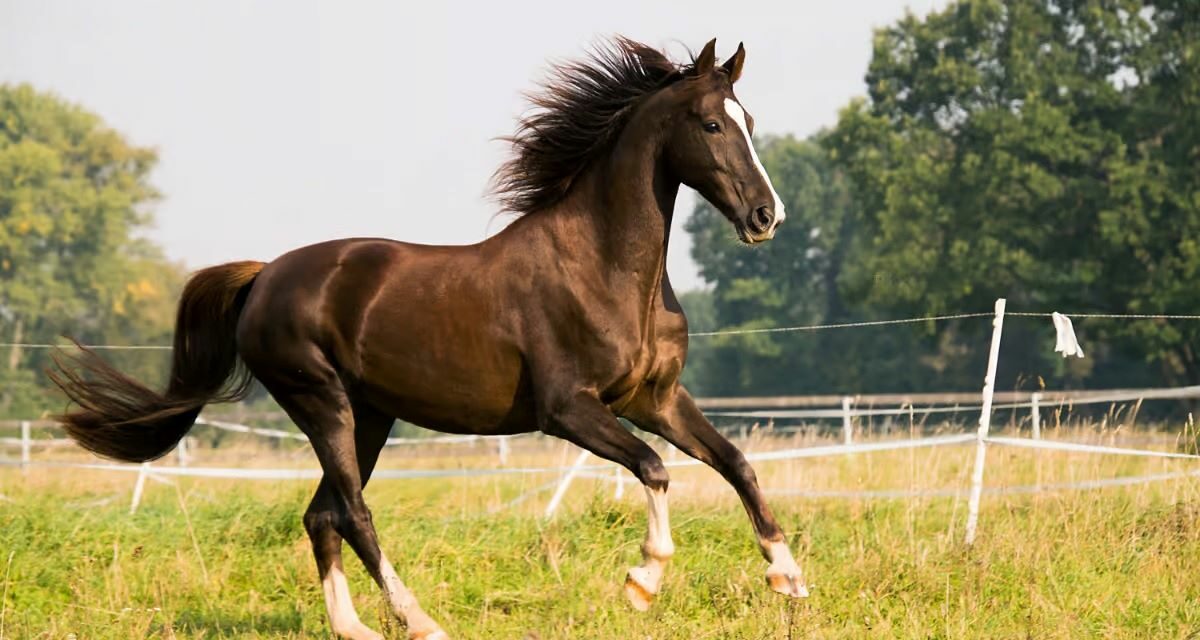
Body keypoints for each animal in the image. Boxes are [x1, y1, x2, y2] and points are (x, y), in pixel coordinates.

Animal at [49, 37, 806, 640]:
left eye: (750, 121)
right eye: (711, 123)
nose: (766, 216)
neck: (604, 268)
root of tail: (264, 277)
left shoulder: (655, 399)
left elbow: (737, 463)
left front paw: (789, 578)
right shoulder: (569, 410)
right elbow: (654, 468)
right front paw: (643, 581)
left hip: (369, 417)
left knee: (321, 515)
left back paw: (354, 629)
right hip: (322, 403)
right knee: (352, 513)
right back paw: (420, 621)